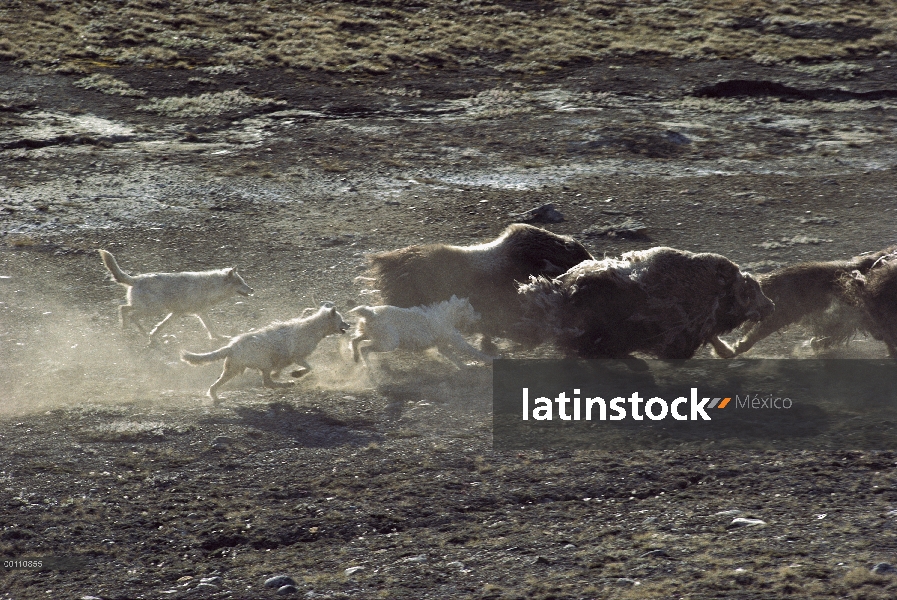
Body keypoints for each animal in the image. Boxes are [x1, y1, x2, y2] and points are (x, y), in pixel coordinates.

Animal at [98, 248, 252, 342]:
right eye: (240, 282)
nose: (252, 290)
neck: (211, 287)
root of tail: (136, 279)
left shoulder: (182, 312)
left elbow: (210, 329)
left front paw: (220, 338)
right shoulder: (188, 312)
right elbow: (210, 327)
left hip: (148, 308)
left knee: (123, 309)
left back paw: (125, 330)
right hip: (153, 309)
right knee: (131, 315)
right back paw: (141, 333)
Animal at [181, 304, 350, 404]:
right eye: (341, 319)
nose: (349, 324)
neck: (314, 328)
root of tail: (232, 345)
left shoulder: (284, 358)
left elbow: (281, 368)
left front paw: (282, 374)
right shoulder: (296, 356)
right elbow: (309, 368)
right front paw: (296, 374)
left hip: (233, 368)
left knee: (216, 385)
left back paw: (215, 397)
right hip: (261, 362)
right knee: (266, 382)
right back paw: (287, 384)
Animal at [346, 296, 494, 370]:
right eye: (472, 310)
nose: (480, 316)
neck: (448, 315)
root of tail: (371, 314)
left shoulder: (442, 345)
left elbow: (452, 356)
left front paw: (463, 366)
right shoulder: (455, 340)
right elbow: (471, 350)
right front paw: (489, 359)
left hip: (369, 332)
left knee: (355, 340)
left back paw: (355, 357)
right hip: (389, 342)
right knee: (365, 348)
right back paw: (368, 365)